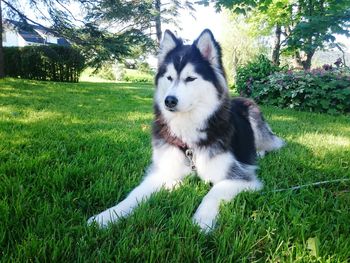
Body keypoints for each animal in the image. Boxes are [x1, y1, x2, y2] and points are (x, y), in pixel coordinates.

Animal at [87, 28, 284, 233]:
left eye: (190, 78)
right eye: (169, 77)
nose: (169, 101)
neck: (187, 129)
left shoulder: (240, 177)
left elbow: (213, 192)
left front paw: (202, 220)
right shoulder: (164, 170)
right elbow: (135, 194)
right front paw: (108, 215)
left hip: (255, 118)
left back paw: (260, 152)